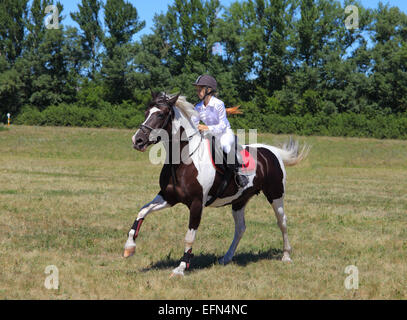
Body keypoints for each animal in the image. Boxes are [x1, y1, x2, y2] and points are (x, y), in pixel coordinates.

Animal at [124, 91, 310, 276]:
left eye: (160, 114)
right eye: (146, 112)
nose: (137, 140)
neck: (183, 160)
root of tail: (271, 152)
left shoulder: (196, 203)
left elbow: (189, 237)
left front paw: (181, 267)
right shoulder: (168, 197)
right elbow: (142, 211)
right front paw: (129, 247)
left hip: (275, 195)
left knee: (282, 222)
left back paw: (286, 255)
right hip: (239, 200)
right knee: (240, 228)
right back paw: (226, 258)